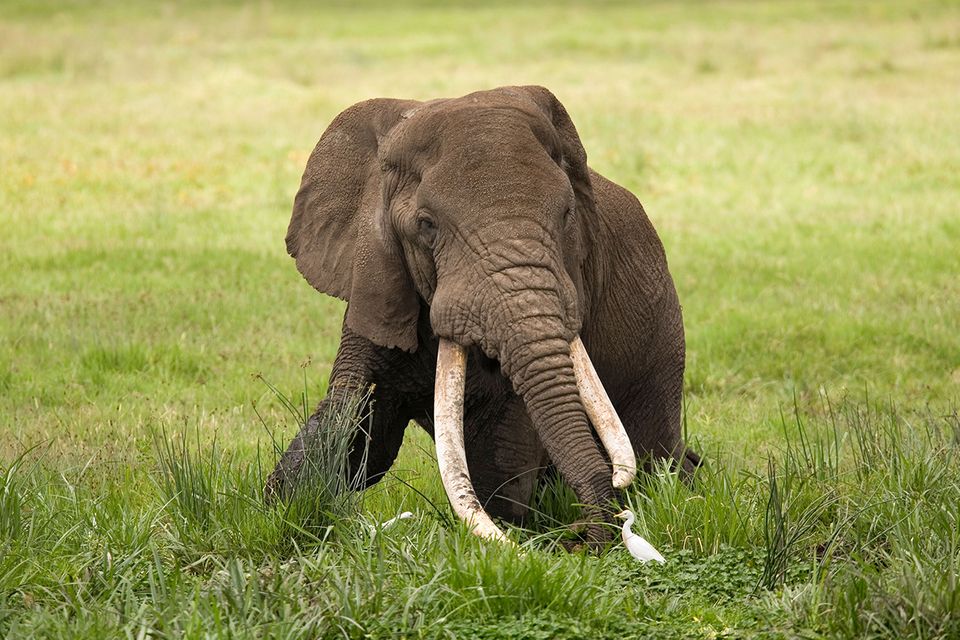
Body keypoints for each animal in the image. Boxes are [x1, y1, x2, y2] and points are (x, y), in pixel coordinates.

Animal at [266, 85, 700, 544]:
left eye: (567, 215)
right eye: (426, 225)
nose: (591, 532)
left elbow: (501, 453)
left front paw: (510, 532)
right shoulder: (374, 280)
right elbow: (355, 426)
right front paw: (287, 501)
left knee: (656, 446)